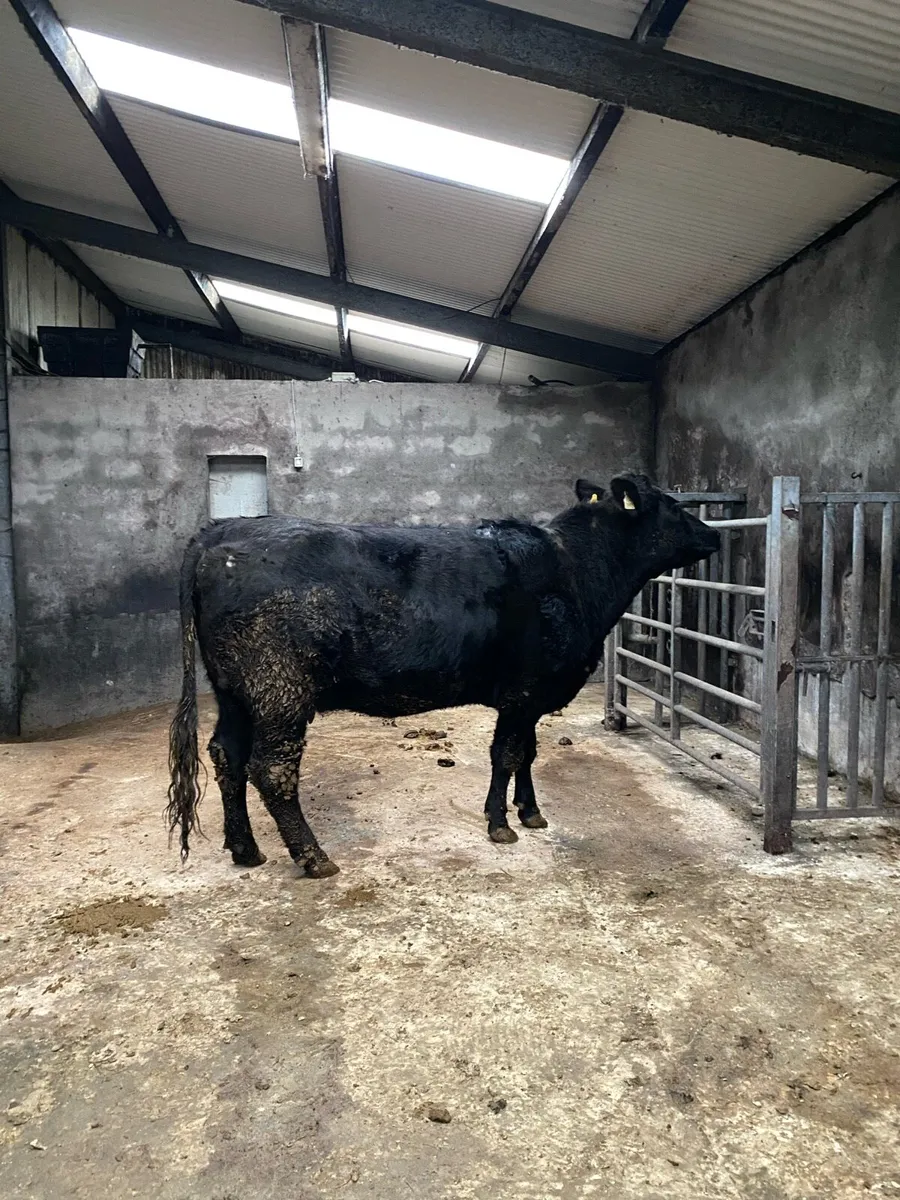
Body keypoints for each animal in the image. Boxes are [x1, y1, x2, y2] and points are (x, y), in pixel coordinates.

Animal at [167, 474, 719, 878]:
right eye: (672, 506)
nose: (713, 534)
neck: (576, 570)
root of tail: (222, 530)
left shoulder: (531, 696)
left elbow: (528, 753)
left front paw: (530, 812)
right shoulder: (523, 690)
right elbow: (507, 754)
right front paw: (500, 824)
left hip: (234, 692)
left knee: (228, 756)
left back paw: (245, 849)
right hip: (280, 690)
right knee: (272, 770)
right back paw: (314, 858)